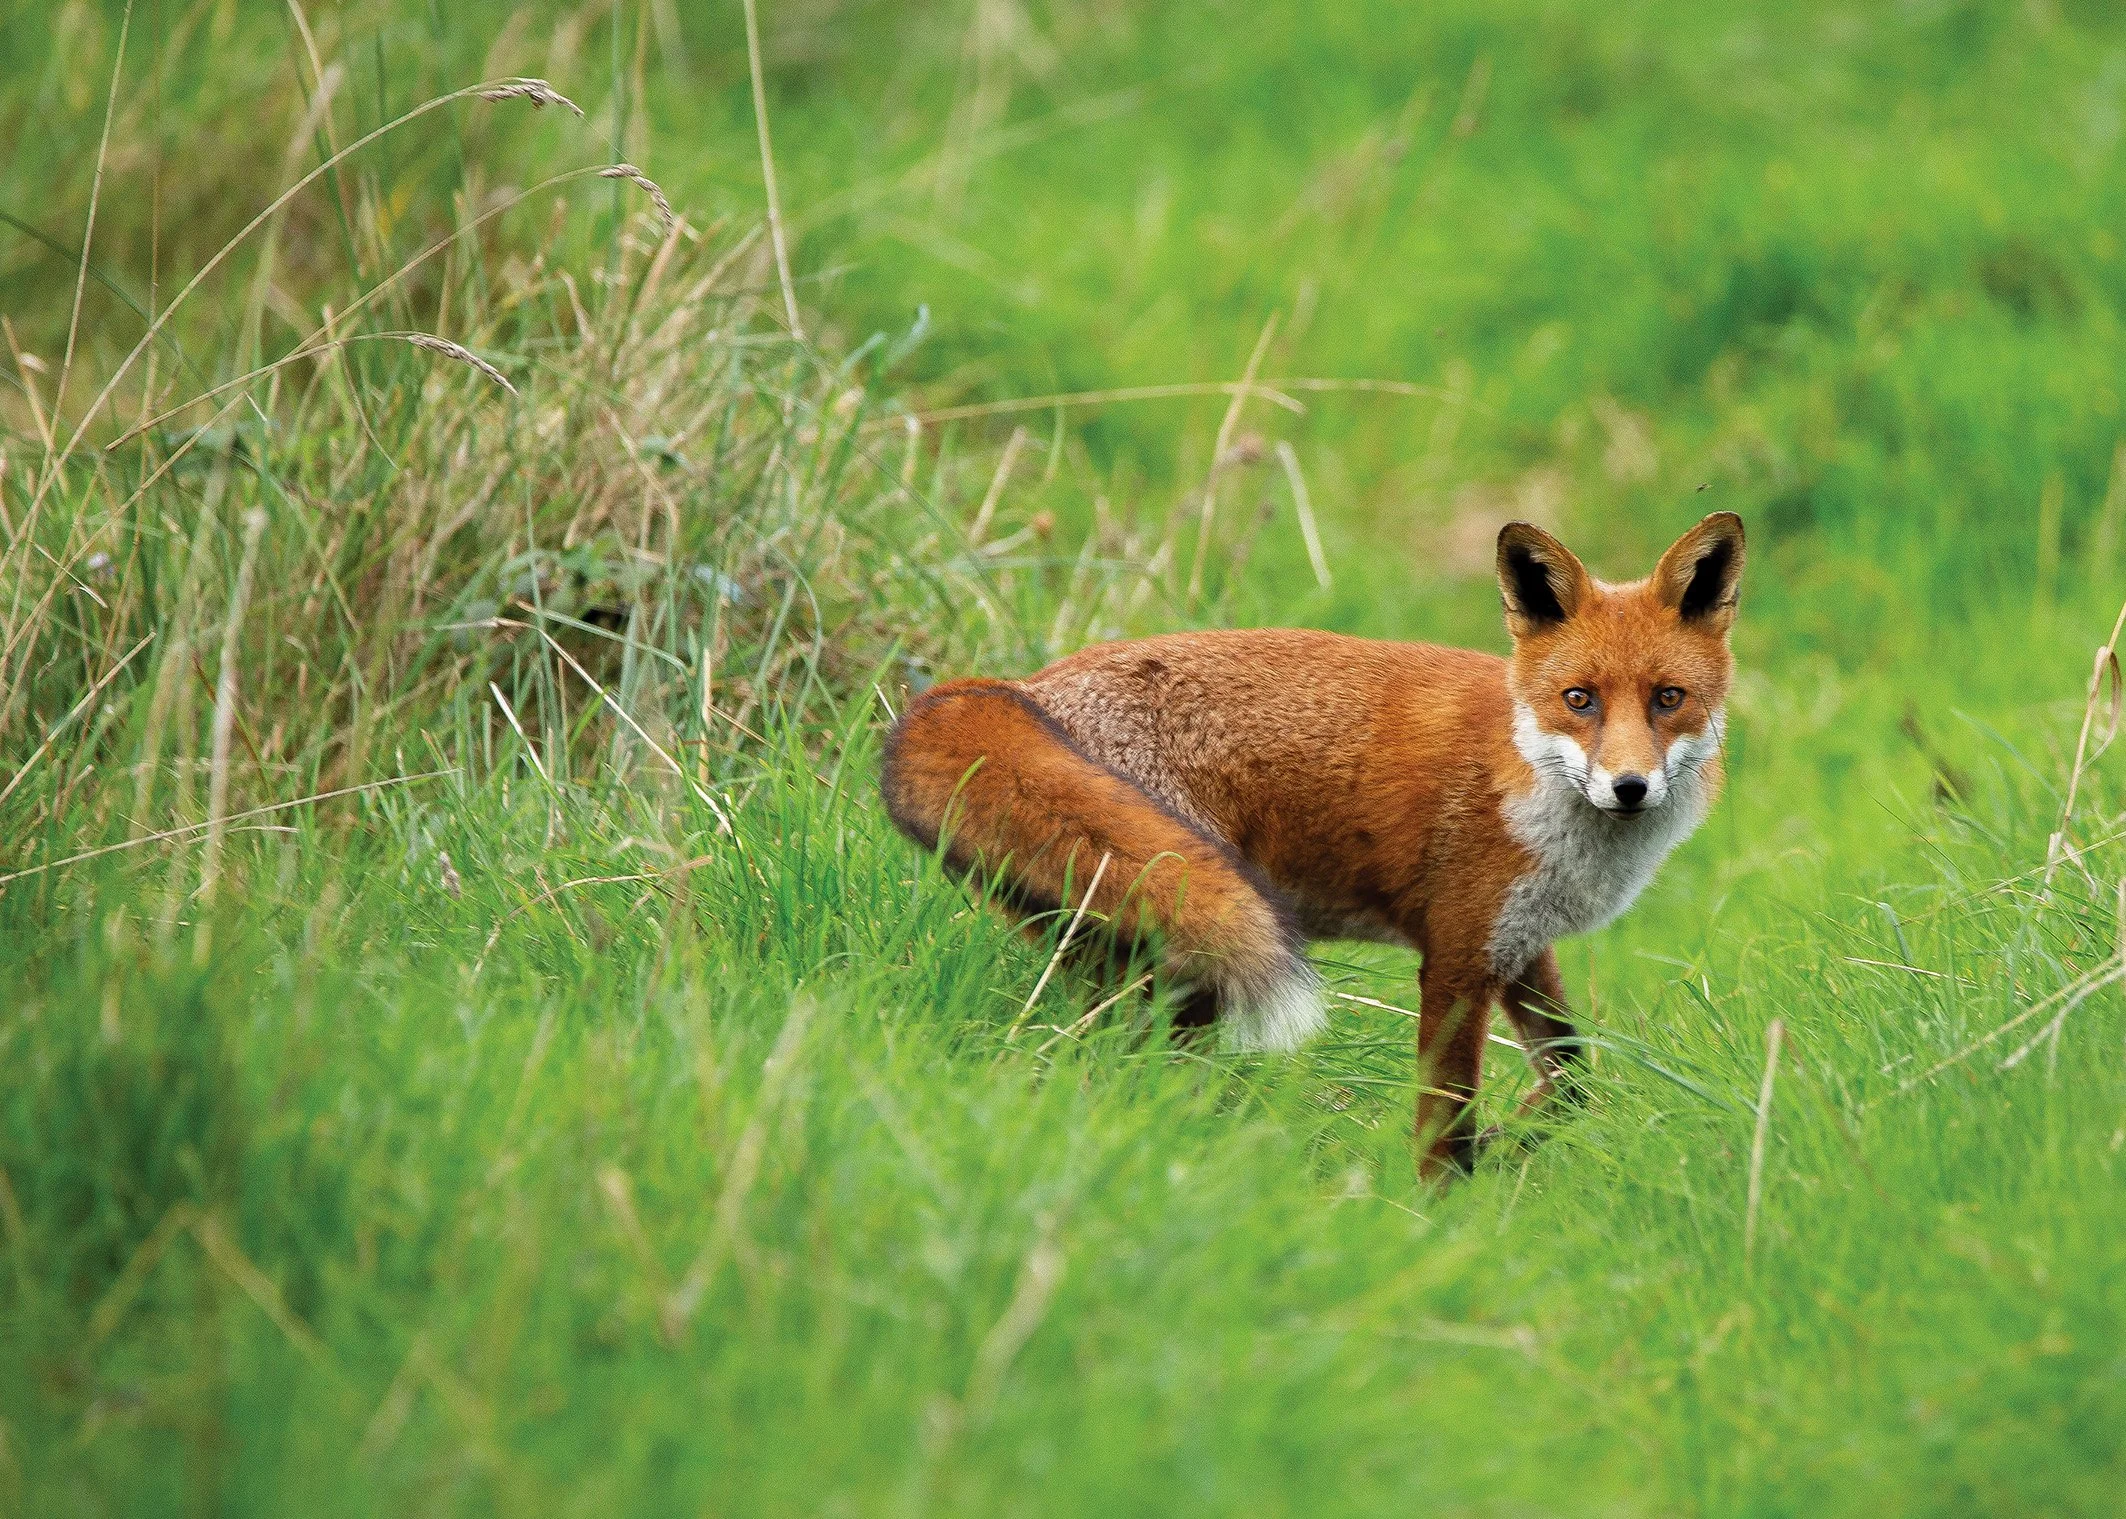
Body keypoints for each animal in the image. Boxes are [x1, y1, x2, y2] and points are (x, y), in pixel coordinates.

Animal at [880, 512, 1744, 1178]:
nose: (1629, 786)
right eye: (1579, 699)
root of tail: (1026, 685)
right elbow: (1443, 1125)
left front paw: (1508, 1144)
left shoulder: (1521, 944)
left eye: (1669, 699)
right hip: (1190, 957)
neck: (1528, 774)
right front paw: (1441, 1214)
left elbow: (1573, 1084)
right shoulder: (1457, 956)